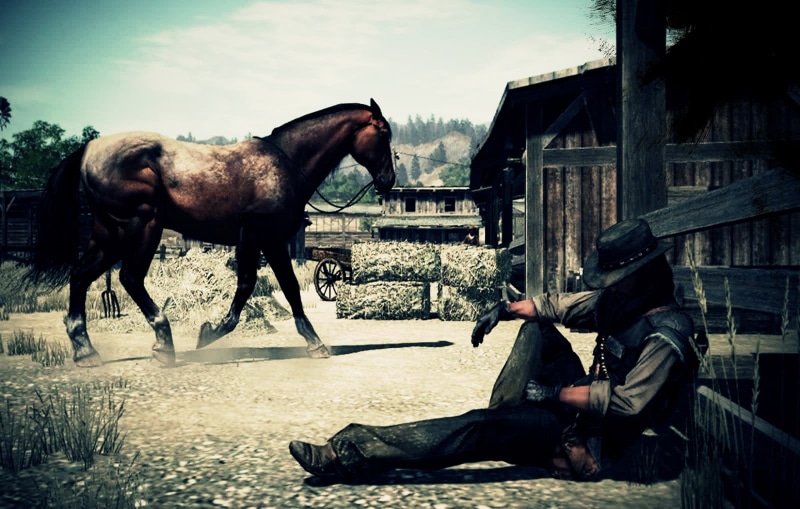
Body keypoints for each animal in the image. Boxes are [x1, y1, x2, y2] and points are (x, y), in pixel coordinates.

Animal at [29, 99, 395, 367]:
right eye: (384, 134)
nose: (388, 180)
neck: (286, 163)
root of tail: (89, 151)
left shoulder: (272, 240)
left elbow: (290, 288)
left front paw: (314, 342)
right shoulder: (256, 235)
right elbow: (248, 286)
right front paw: (210, 333)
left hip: (109, 234)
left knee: (81, 276)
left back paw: (85, 350)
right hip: (141, 226)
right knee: (129, 277)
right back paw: (163, 344)